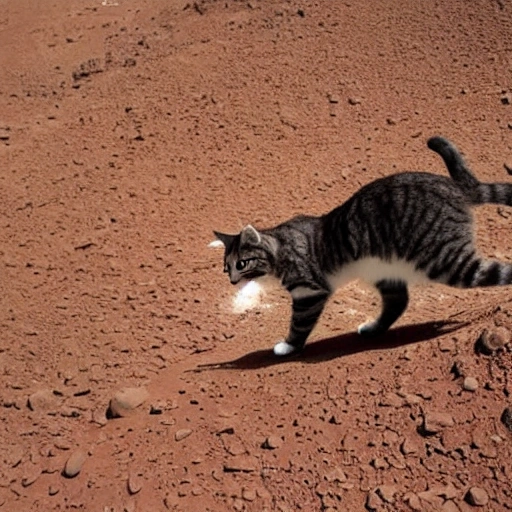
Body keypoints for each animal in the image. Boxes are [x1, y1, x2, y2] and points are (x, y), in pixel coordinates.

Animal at [213, 136, 512, 356]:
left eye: (242, 263)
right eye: (226, 268)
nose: (232, 281)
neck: (280, 248)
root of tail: (455, 187)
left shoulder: (309, 293)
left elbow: (299, 325)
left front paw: (288, 346)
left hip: (445, 261)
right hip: (384, 270)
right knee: (398, 302)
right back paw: (373, 329)